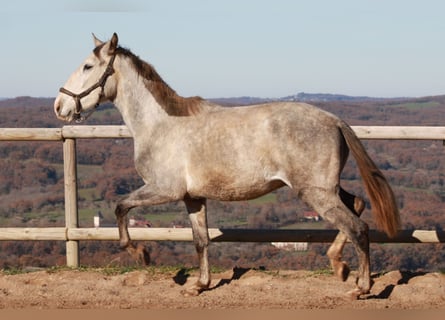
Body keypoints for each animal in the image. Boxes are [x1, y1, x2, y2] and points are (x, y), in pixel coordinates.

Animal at [54, 32, 398, 298]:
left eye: (87, 66)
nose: (60, 106)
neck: (159, 125)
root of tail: (335, 121)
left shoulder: (163, 189)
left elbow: (121, 207)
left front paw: (142, 254)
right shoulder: (193, 198)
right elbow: (200, 239)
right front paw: (199, 285)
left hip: (314, 192)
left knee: (357, 227)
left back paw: (360, 287)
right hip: (324, 188)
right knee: (357, 204)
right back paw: (340, 267)